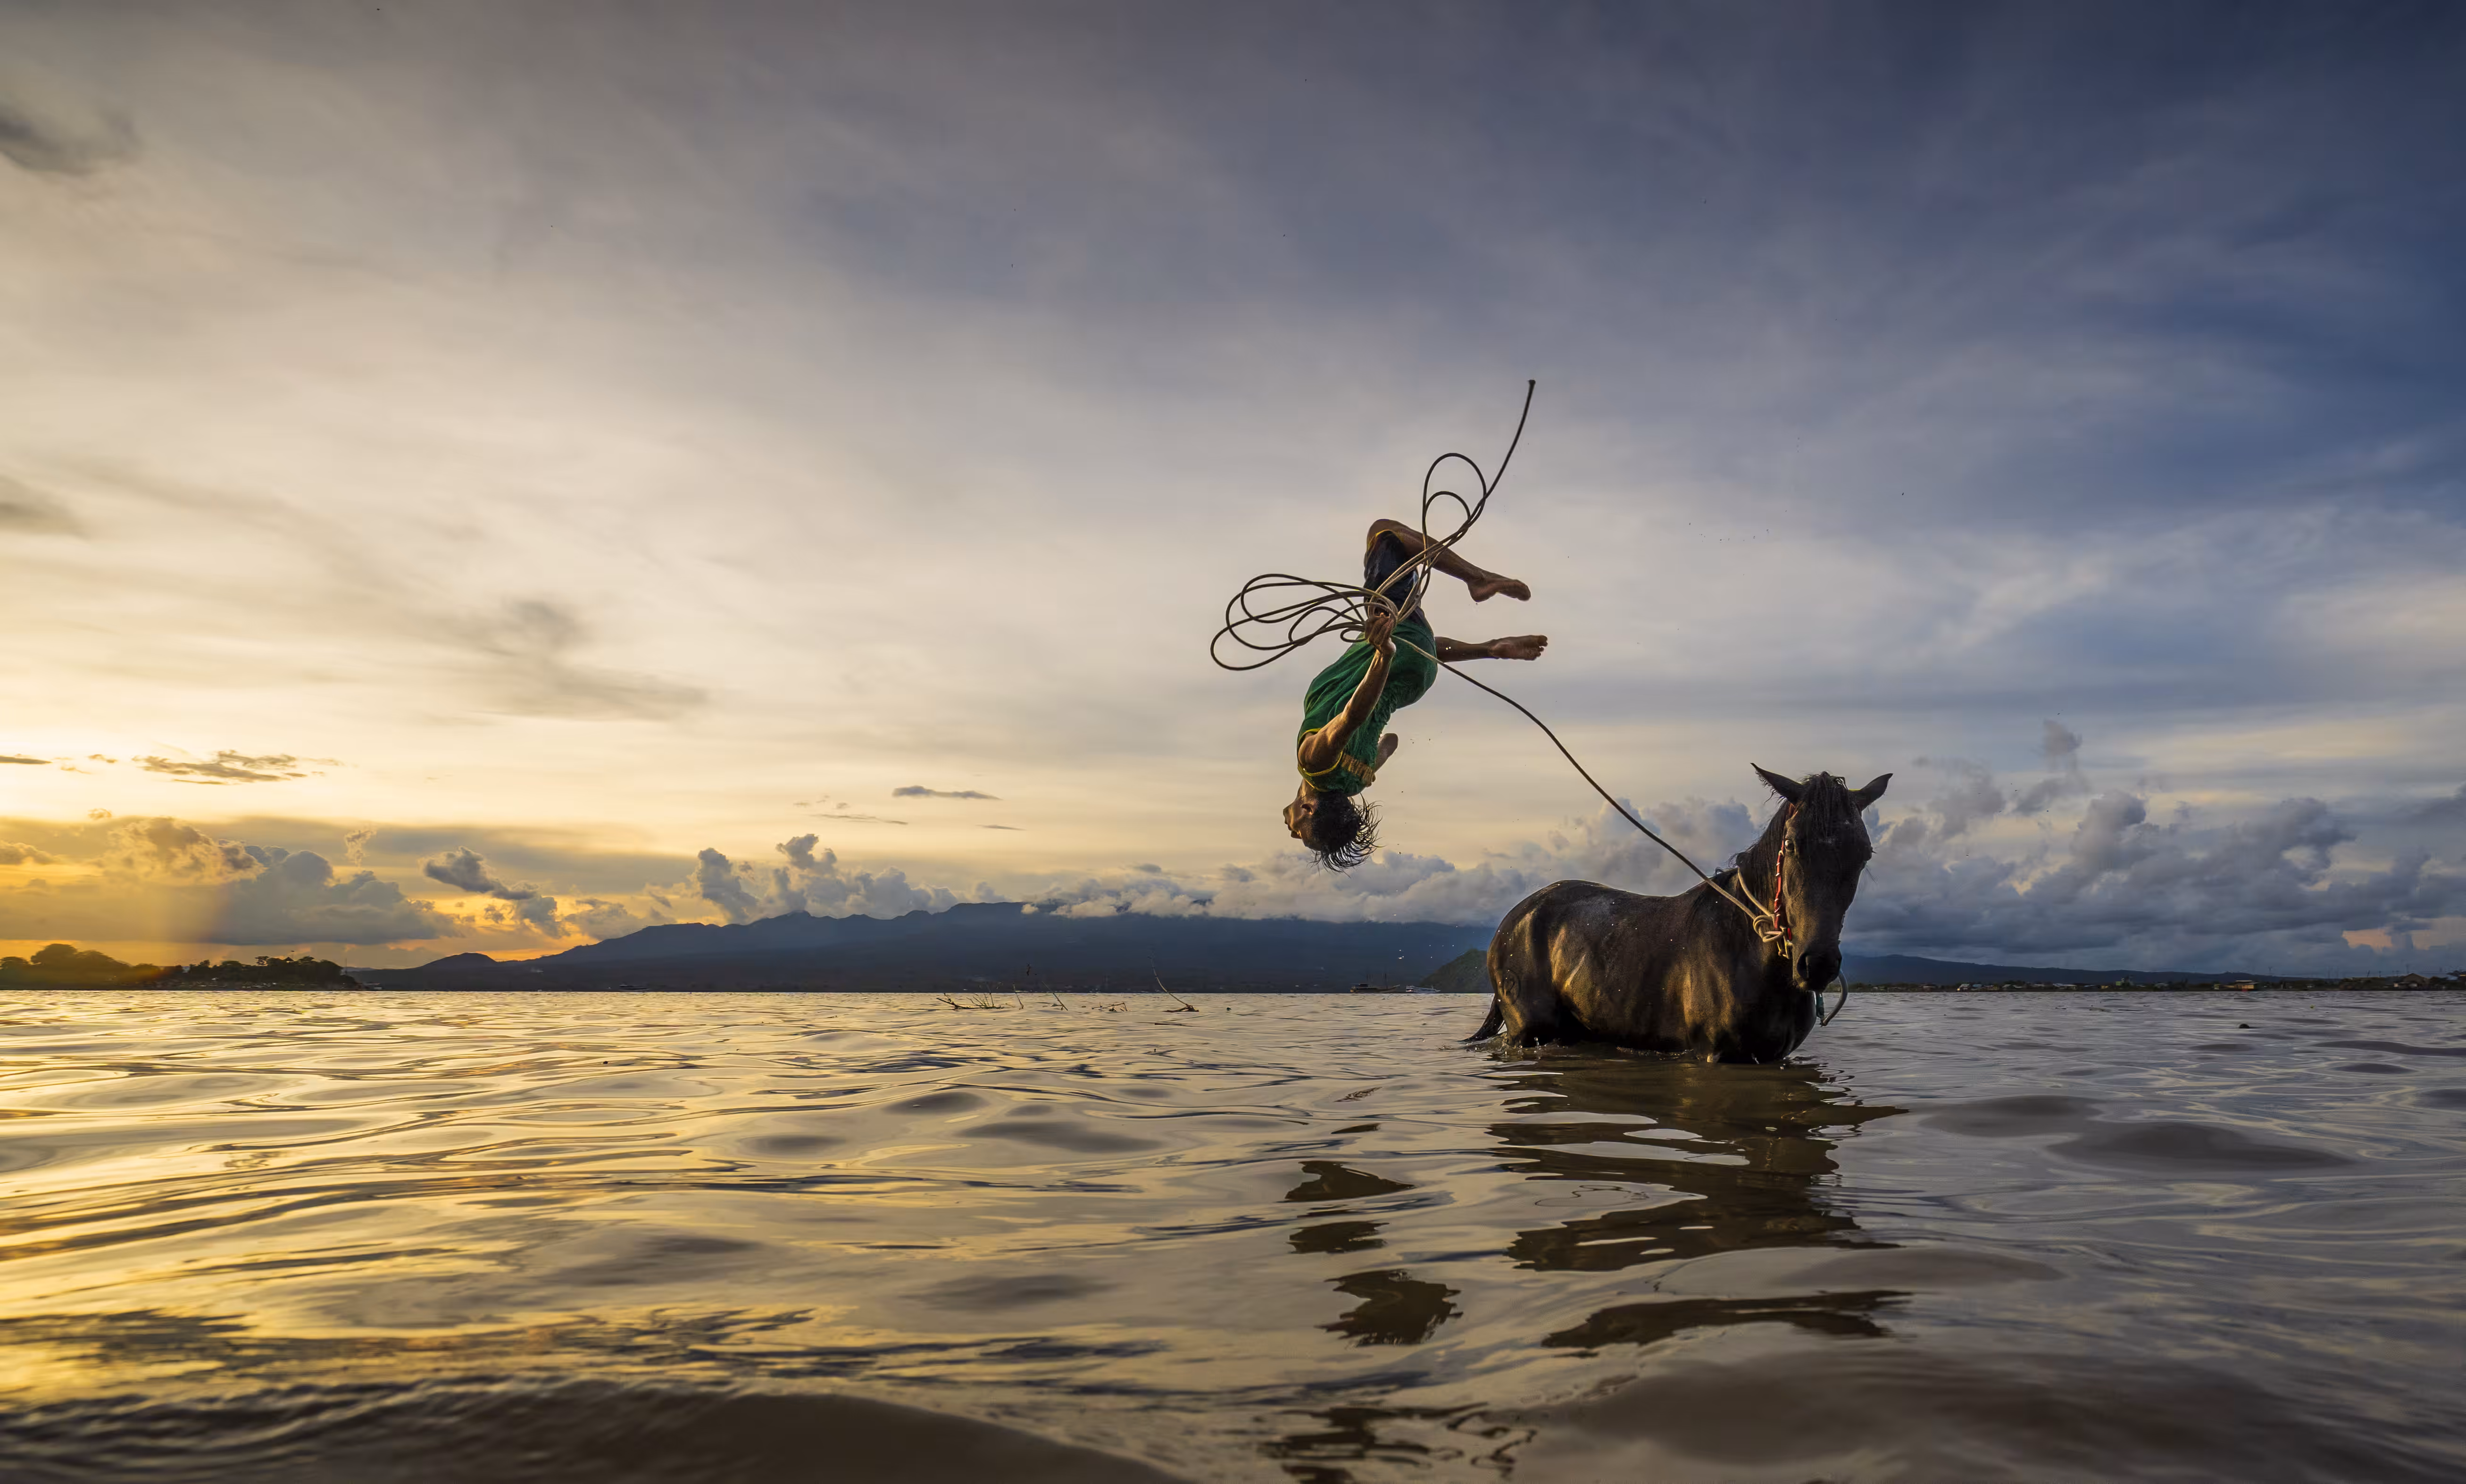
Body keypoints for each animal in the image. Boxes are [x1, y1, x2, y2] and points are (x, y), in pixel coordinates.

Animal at [1468, 768, 1890, 1063]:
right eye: (1791, 844)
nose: (1817, 965)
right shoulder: (1718, 1054)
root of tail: (1512, 921)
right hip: (1529, 1032)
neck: (1749, 949)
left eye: (1864, 853)